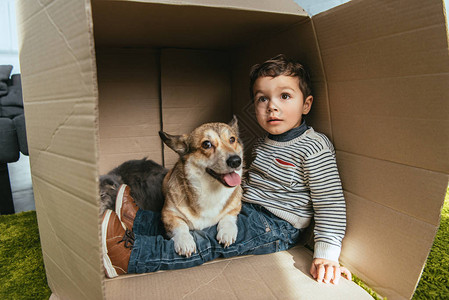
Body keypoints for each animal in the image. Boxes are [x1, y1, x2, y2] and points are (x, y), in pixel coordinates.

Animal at [159, 116, 243, 256]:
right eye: (206, 144)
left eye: (232, 139)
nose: (236, 161)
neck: (210, 189)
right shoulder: (168, 214)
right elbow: (180, 226)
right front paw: (185, 241)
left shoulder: (235, 207)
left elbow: (228, 217)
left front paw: (227, 232)